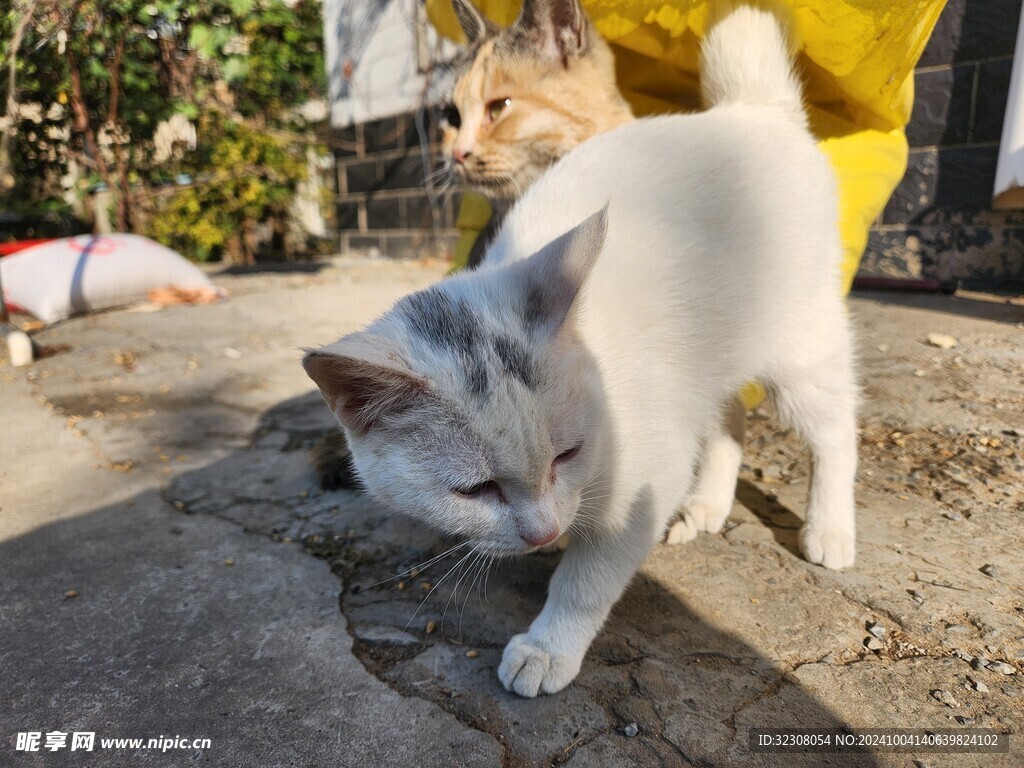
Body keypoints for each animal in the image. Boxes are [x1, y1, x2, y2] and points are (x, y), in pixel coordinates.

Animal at [303, 4, 856, 696]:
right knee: (728, 414)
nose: (543, 532)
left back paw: (830, 529)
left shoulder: (650, 472)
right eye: (475, 491)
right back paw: (707, 504)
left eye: (568, 453)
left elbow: (589, 577)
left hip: (799, 340)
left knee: (834, 428)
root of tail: (754, 112)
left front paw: (549, 645)